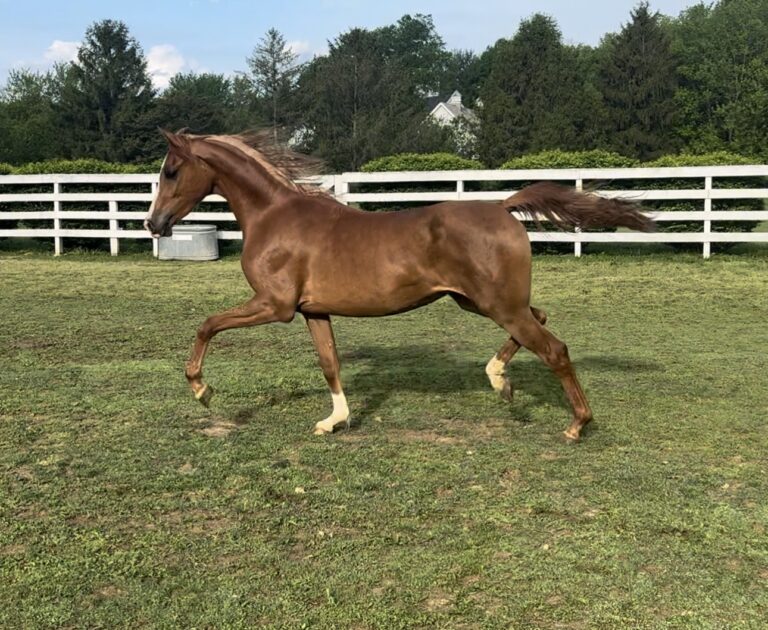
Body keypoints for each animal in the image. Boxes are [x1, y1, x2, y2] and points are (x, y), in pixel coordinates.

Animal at [146, 131, 656, 442]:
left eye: (171, 171)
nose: (154, 224)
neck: (275, 216)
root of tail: (502, 206)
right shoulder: (313, 310)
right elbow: (329, 362)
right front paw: (334, 421)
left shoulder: (275, 305)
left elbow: (207, 324)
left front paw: (201, 389)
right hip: (479, 301)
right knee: (542, 321)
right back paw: (500, 380)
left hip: (496, 304)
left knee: (554, 348)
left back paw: (575, 424)